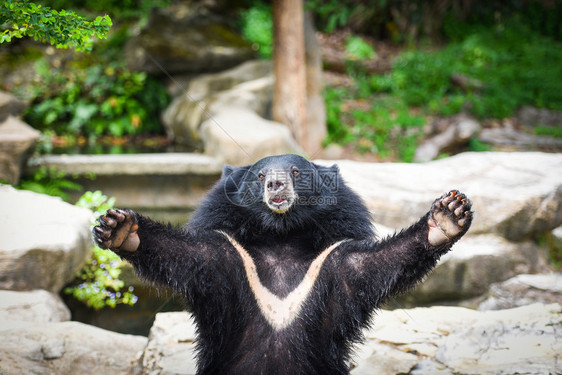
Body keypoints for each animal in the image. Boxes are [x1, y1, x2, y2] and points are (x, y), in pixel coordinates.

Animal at [94, 153, 470, 375]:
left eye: (295, 171)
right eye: (260, 176)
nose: (276, 184)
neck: (281, 236)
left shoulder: (332, 262)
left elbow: (373, 264)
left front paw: (448, 216)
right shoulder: (228, 258)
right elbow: (188, 254)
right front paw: (120, 228)